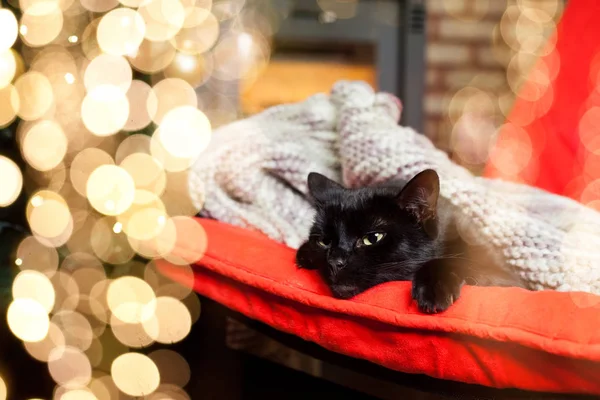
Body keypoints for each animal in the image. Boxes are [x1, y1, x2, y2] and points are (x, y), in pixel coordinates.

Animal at [294, 169, 524, 312]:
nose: (335, 262)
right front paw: (305, 253)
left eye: (372, 238)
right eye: (324, 241)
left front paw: (432, 289)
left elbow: (460, 262)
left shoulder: (508, 280)